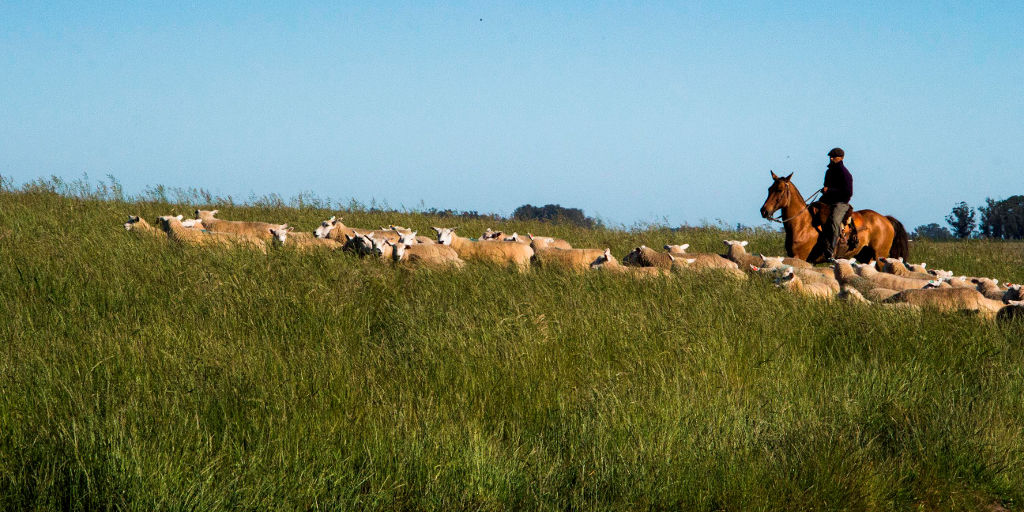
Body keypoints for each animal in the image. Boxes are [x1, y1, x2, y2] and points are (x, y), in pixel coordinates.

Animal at [757, 172, 909, 264]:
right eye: (769, 189)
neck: (801, 225)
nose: (764, 211)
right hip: (866, 256)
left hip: (879, 255)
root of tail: (885, 219)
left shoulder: (800, 257)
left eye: (779, 190)